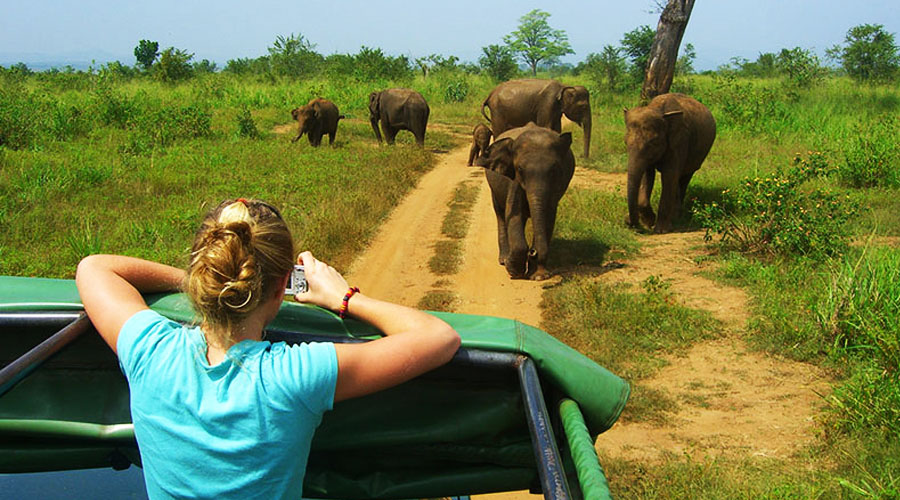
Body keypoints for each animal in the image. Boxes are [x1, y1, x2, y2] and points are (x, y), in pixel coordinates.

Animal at [474, 122, 572, 280]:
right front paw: (513, 270)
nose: (533, 252)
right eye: (519, 169)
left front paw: (539, 276)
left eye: (554, 170)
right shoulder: (514, 181)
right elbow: (514, 214)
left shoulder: (556, 186)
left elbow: (549, 216)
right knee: (500, 214)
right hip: (493, 187)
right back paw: (503, 259)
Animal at [624, 93, 716, 233]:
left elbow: (669, 175)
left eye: (653, 143)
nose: (628, 222)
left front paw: (661, 230)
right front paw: (649, 222)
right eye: (625, 142)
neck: (659, 110)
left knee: (684, 178)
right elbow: (647, 174)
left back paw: (676, 217)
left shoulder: (680, 141)